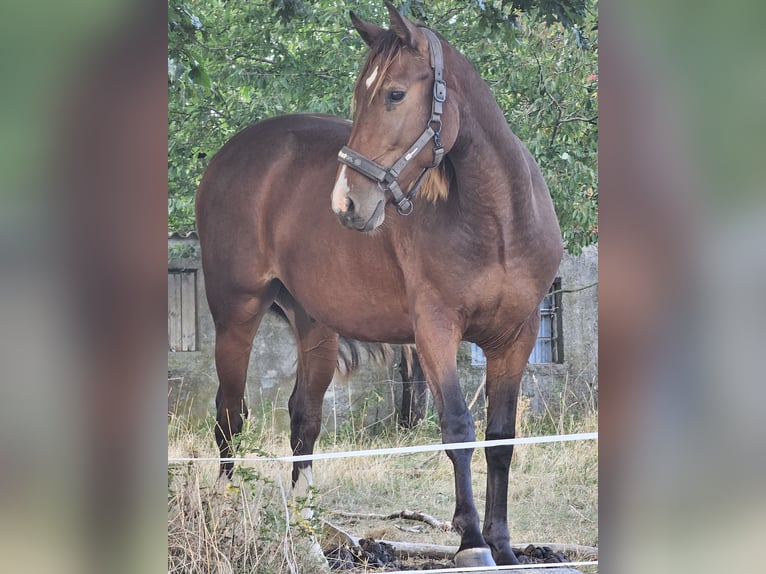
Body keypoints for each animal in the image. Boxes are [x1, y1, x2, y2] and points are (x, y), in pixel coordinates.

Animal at [195, 3, 563, 569]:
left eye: (394, 94)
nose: (347, 203)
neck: (497, 221)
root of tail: (226, 156)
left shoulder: (516, 337)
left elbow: (501, 438)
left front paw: (503, 545)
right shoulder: (435, 332)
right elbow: (459, 428)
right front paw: (472, 543)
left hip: (314, 325)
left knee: (304, 418)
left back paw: (307, 539)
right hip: (236, 312)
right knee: (230, 416)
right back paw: (225, 519)